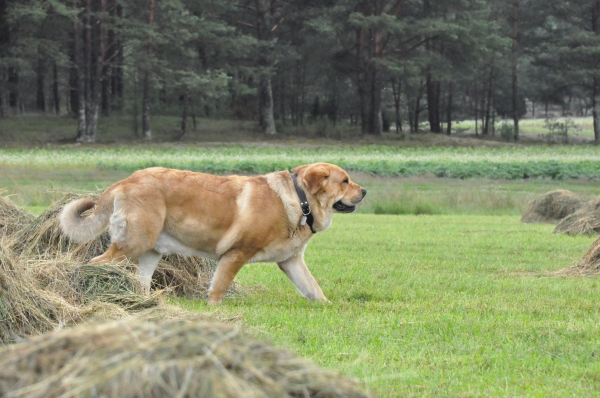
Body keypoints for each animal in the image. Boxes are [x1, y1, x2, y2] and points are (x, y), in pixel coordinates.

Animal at [58, 163, 366, 304]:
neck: (299, 201)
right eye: (345, 181)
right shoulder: (235, 255)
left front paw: (329, 307)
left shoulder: (291, 262)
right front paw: (214, 310)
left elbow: (313, 289)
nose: (364, 190)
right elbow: (218, 288)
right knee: (93, 263)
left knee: (140, 282)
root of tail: (126, 180)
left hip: (149, 252)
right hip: (132, 244)